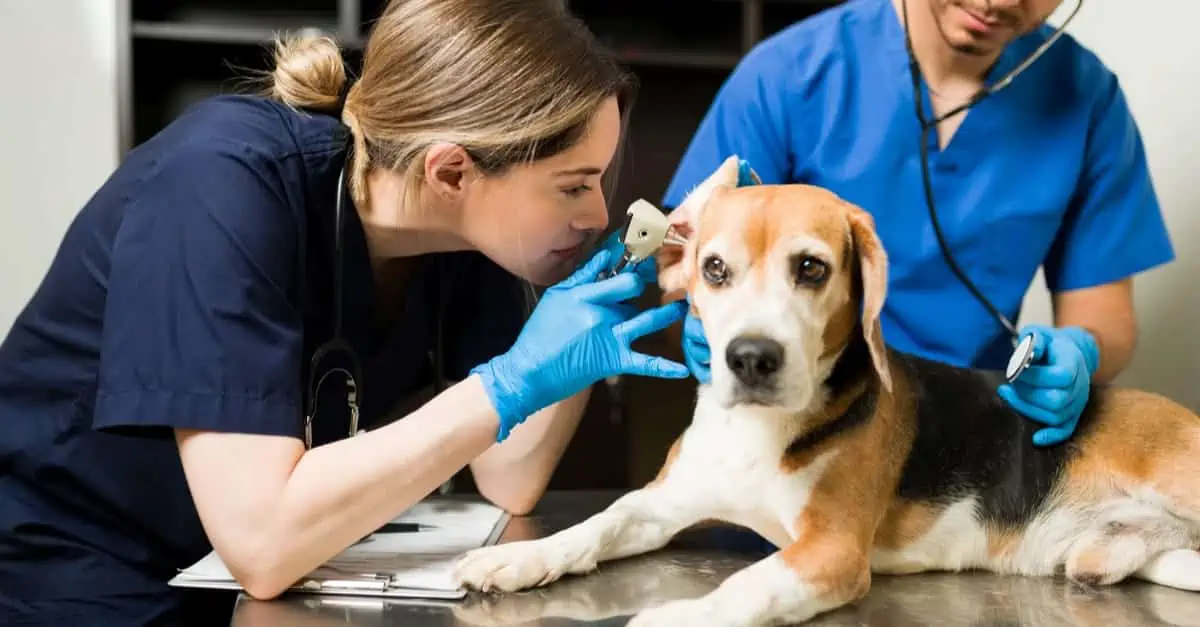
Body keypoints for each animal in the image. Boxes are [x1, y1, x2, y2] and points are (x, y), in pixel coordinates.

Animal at [453, 157, 1200, 624]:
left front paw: (679, 614)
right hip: (1165, 561)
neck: (756, 435)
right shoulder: (660, 505)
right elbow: (594, 524)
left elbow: (747, 586)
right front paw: (517, 556)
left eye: (811, 268)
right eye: (714, 268)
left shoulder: (831, 551)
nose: (751, 357)